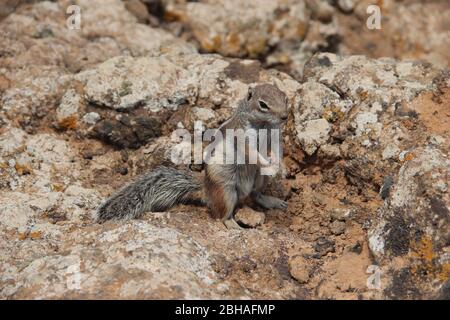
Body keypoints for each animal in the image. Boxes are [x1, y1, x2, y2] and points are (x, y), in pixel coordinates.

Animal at [96, 82, 290, 228]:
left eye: (286, 98)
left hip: (260, 179)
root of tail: (205, 187)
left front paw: (280, 165)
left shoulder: (275, 137)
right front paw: (267, 163)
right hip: (225, 190)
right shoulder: (241, 137)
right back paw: (233, 224)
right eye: (263, 104)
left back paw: (272, 201)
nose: (285, 116)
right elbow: (251, 153)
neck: (263, 125)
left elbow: (278, 150)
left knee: (256, 194)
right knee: (222, 215)